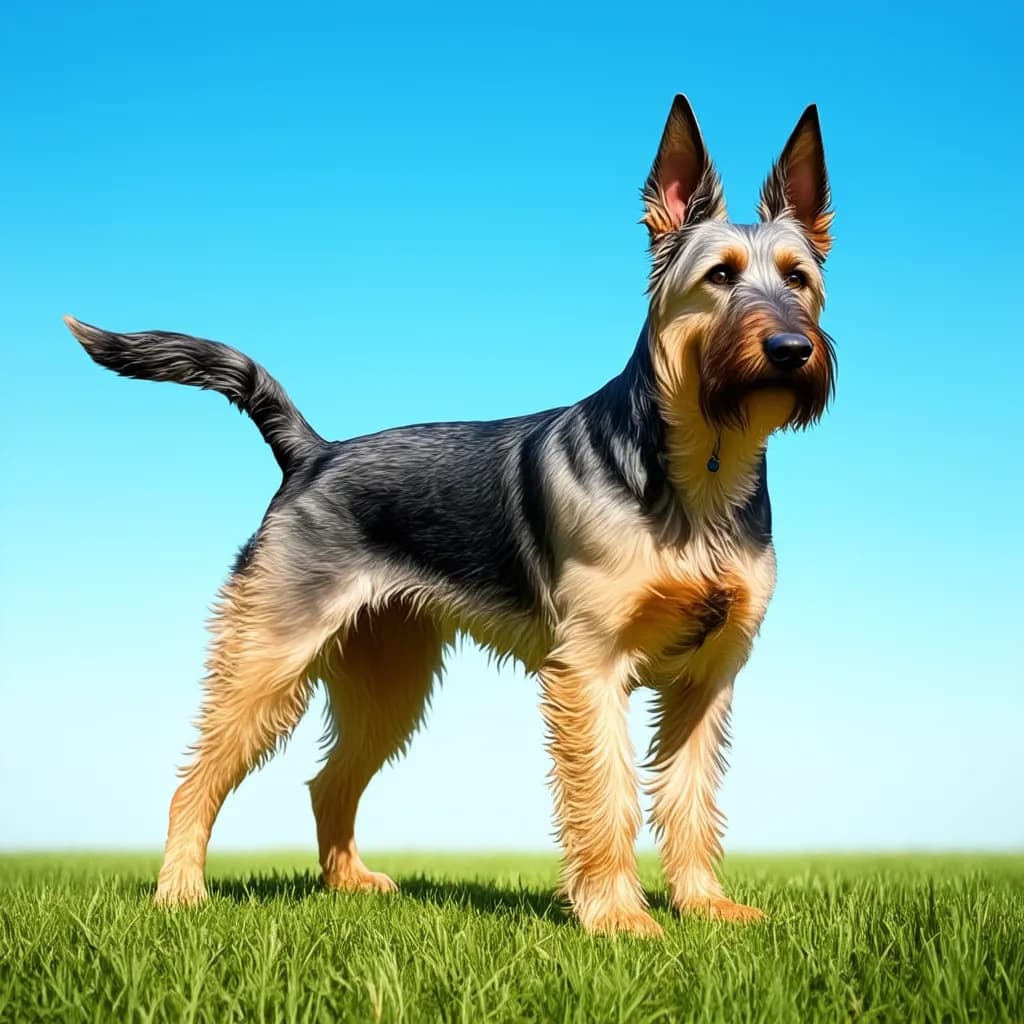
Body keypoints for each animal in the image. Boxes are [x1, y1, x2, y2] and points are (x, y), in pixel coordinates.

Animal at [64, 96, 835, 937]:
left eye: (799, 279)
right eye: (719, 276)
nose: (791, 349)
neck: (703, 465)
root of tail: (312, 452)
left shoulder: (706, 679)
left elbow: (692, 800)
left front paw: (705, 906)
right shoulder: (590, 670)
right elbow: (608, 800)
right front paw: (617, 919)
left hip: (387, 678)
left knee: (329, 783)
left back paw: (348, 883)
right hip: (268, 657)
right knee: (194, 778)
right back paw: (179, 892)